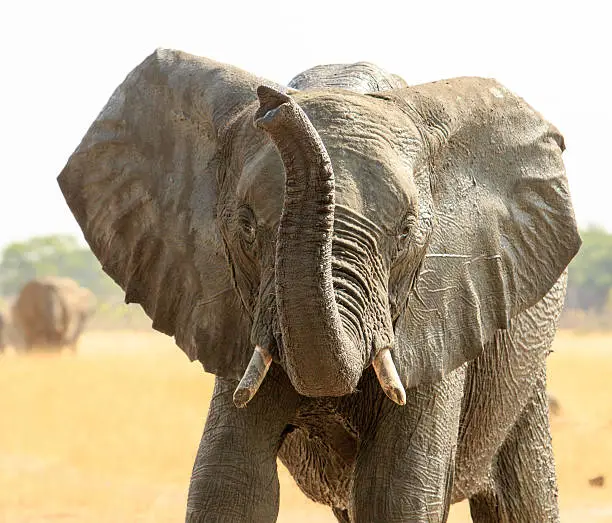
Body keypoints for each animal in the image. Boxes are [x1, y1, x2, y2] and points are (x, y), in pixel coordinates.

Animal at [59, 50, 580, 523]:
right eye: (246, 227)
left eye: (406, 231)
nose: (272, 105)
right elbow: (230, 482)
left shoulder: (442, 305)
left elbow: (396, 493)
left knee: (521, 497)